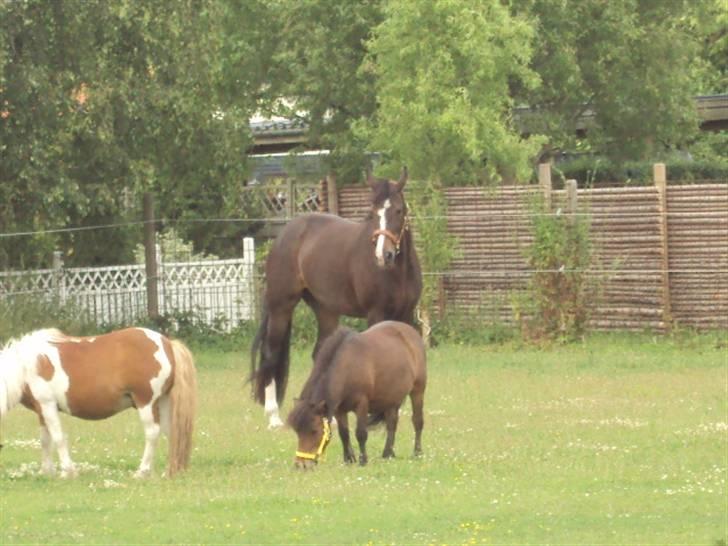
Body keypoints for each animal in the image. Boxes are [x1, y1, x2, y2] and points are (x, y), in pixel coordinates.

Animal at [0, 328, 196, 476]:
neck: (27, 366)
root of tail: (167, 343)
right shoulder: (42, 409)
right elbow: (45, 440)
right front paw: (46, 472)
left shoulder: (47, 405)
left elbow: (58, 438)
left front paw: (67, 472)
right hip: (163, 403)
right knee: (172, 433)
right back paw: (170, 471)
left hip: (146, 402)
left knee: (153, 433)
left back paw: (142, 472)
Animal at [250, 168, 420, 428]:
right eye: (373, 212)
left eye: (399, 210)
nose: (384, 255)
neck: (396, 273)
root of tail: (285, 234)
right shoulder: (376, 314)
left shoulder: (407, 314)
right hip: (282, 306)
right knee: (271, 352)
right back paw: (274, 416)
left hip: (325, 311)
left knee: (320, 353)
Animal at [288, 318, 426, 468]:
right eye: (297, 431)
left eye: (314, 431)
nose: (301, 465)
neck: (347, 367)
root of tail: (411, 331)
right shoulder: (339, 410)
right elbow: (344, 434)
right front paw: (348, 459)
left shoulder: (362, 404)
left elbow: (360, 433)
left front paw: (363, 460)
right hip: (392, 399)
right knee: (392, 423)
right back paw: (388, 453)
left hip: (418, 391)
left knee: (417, 421)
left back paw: (418, 453)